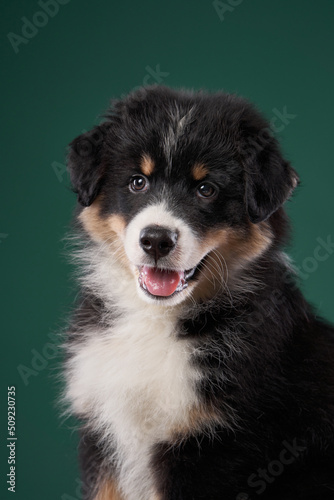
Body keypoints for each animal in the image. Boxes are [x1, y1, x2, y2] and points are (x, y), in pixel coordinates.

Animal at [62, 86, 334, 500]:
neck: (155, 321)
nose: (156, 240)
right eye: (137, 182)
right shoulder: (102, 438)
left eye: (206, 190)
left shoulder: (212, 445)